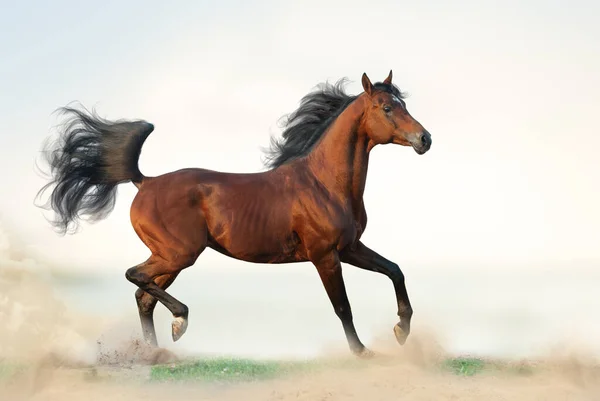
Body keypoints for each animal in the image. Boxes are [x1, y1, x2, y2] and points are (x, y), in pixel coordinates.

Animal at [36, 69, 432, 356]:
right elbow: (342, 306)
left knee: (144, 295)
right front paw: (362, 352)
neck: (324, 184)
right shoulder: (325, 255)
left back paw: (156, 353)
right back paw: (179, 322)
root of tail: (144, 182)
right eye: (386, 107)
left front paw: (401, 330)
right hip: (178, 254)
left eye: (403, 103)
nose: (425, 139)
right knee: (136, 277)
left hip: (172, 258)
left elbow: (395, 271)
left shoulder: (349, 249)